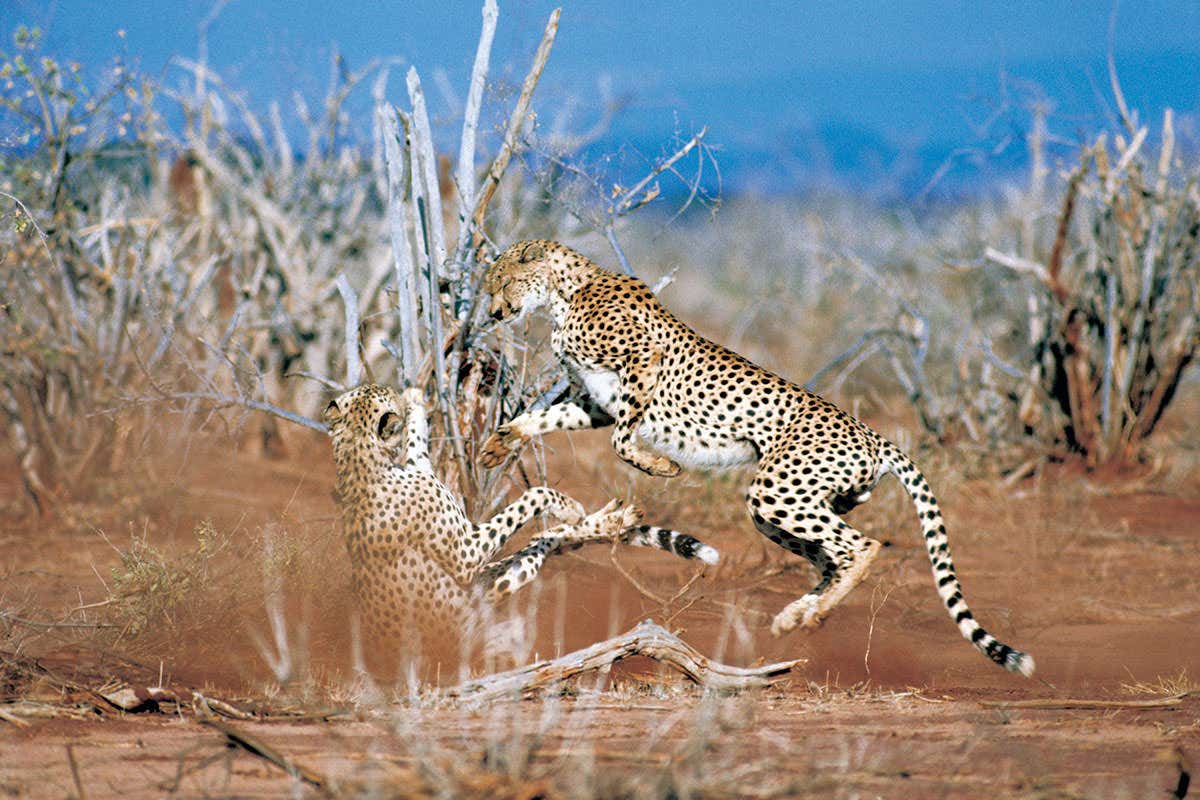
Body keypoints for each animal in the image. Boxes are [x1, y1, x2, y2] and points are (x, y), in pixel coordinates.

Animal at [324, 383, 719, 656]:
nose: (394, 390)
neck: (359, 453)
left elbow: (417, 444)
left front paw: (415, 398)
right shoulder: (465, 554)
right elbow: (532, 496)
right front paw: (566, 504)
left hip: (502, 576)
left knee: (548, 540)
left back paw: (611, 520)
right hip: (487, 591)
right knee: (543, 541)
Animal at [478, 239, 1035, 676]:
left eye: (501, 280)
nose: (494, 312)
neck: (566, 293)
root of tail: (874, 434)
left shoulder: (641, 363)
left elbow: (621, 439)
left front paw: (661, 466)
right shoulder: (595, 401)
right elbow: (545, 418)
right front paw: (499, 443)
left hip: (777, 491)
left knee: (862, 546)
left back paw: (813, 613)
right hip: (789, 505)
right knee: (829, 557)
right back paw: (797, 614)